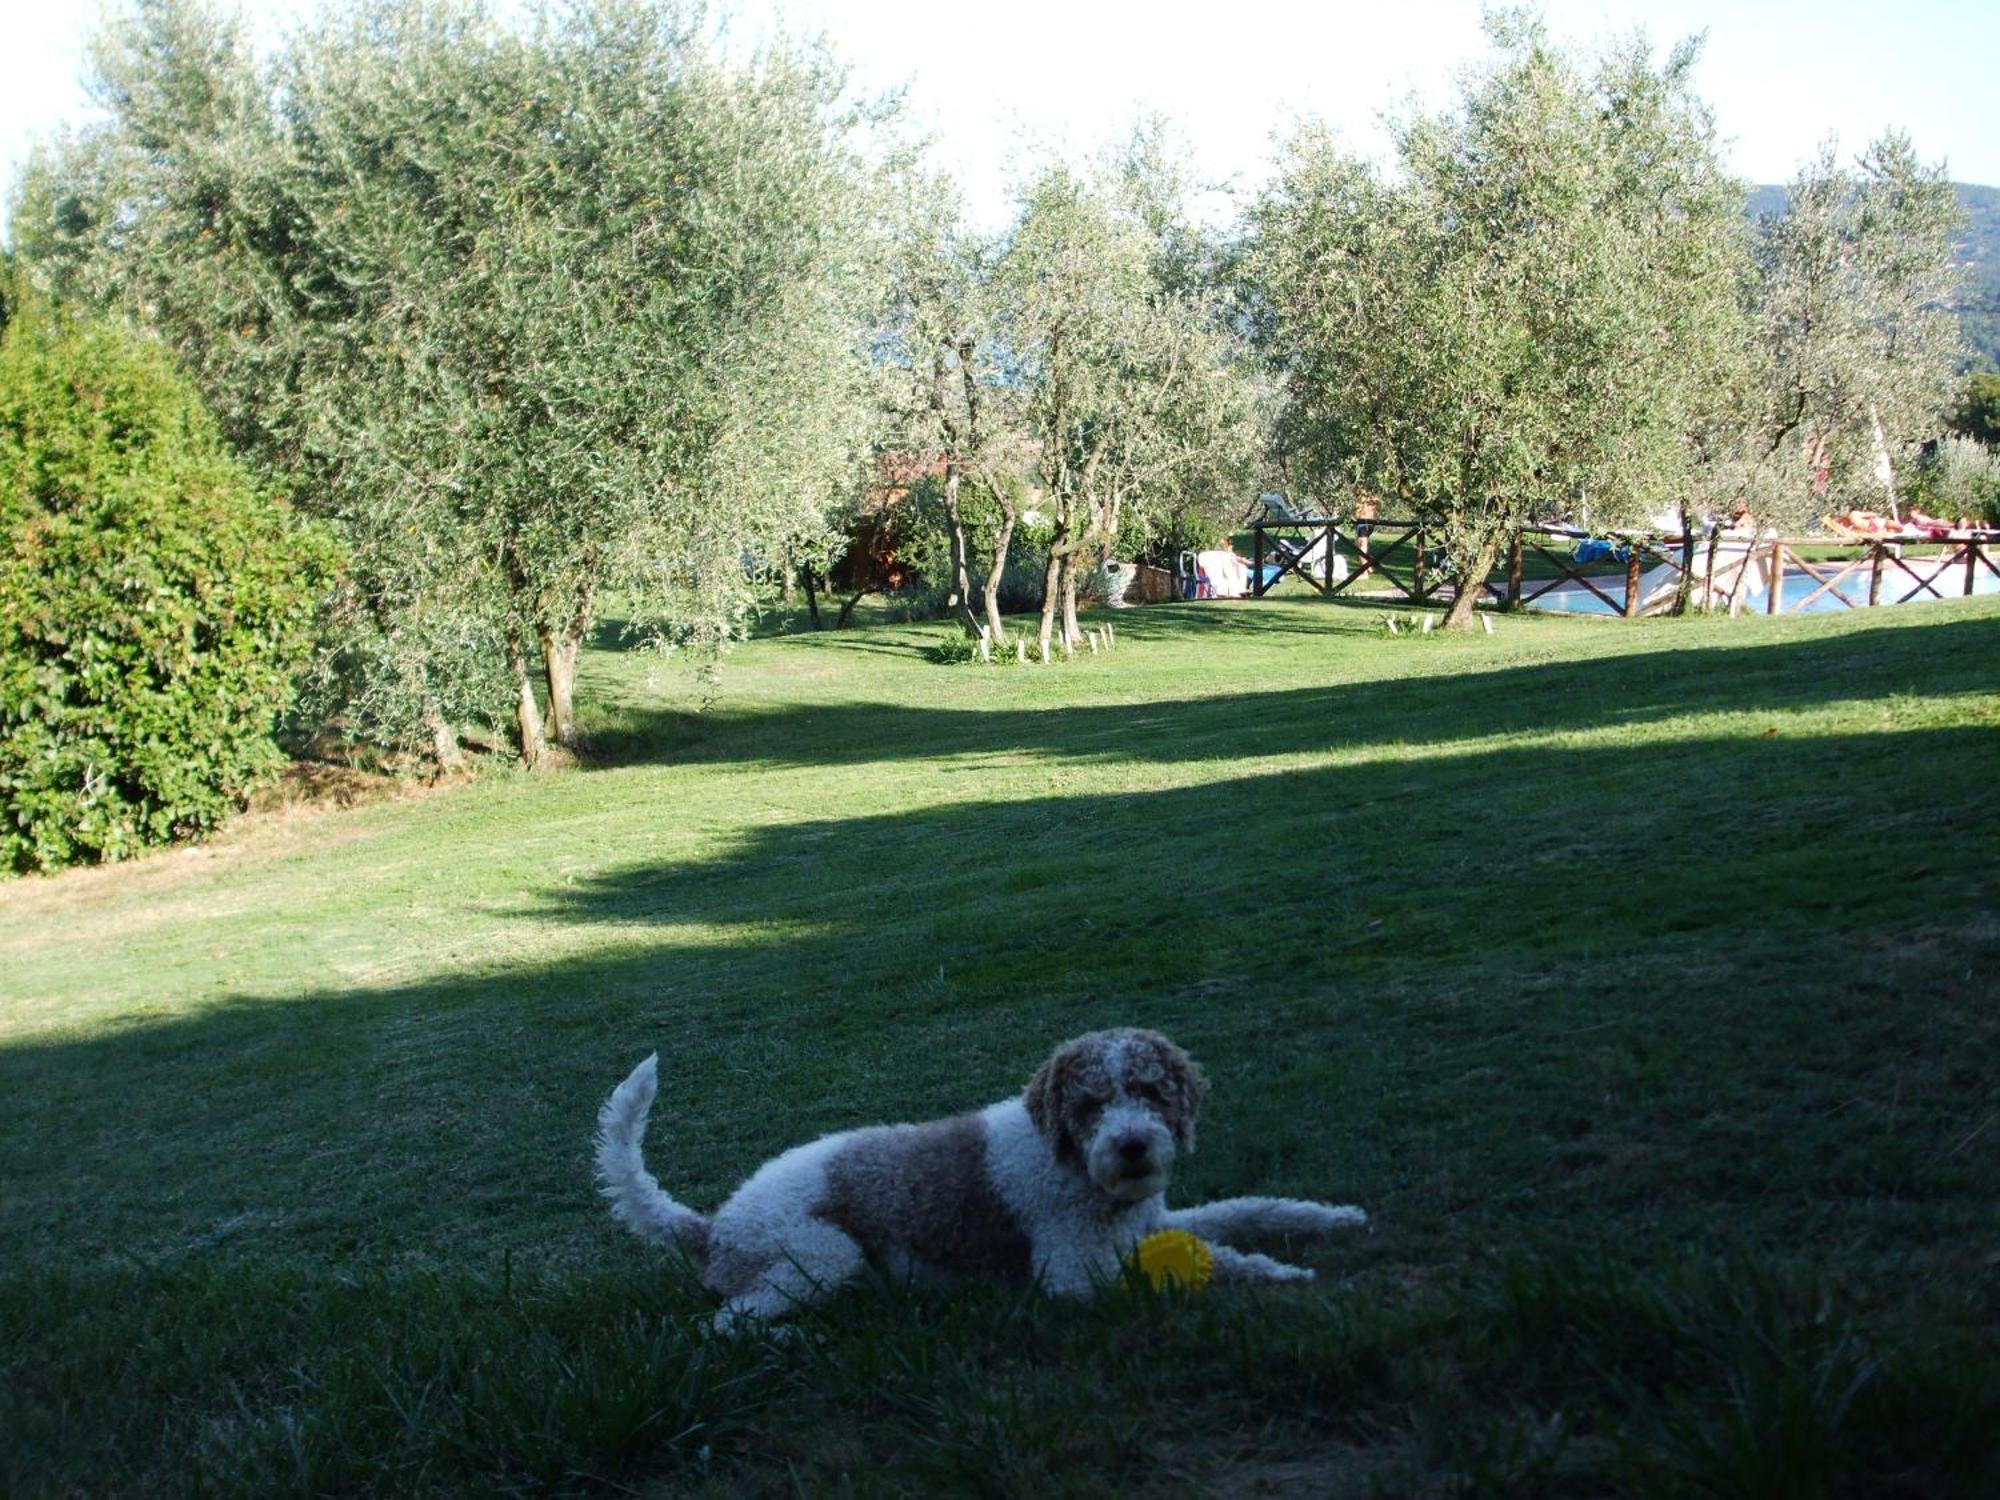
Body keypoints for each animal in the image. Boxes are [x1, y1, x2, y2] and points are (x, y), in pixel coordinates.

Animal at [592, 1032, 1368, 1336]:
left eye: (1150, 1091)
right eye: (1090, 1103)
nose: (1133, 1147)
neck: (1069, 1164)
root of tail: (710, 1226)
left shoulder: (1151, 1223)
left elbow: (1248, 1210)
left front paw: (1332, 1222)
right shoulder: (1072, 1276)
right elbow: (1203, 1269)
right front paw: (1273, 1275)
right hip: (820, 1254)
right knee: (723, 1325)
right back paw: (797, 1342)